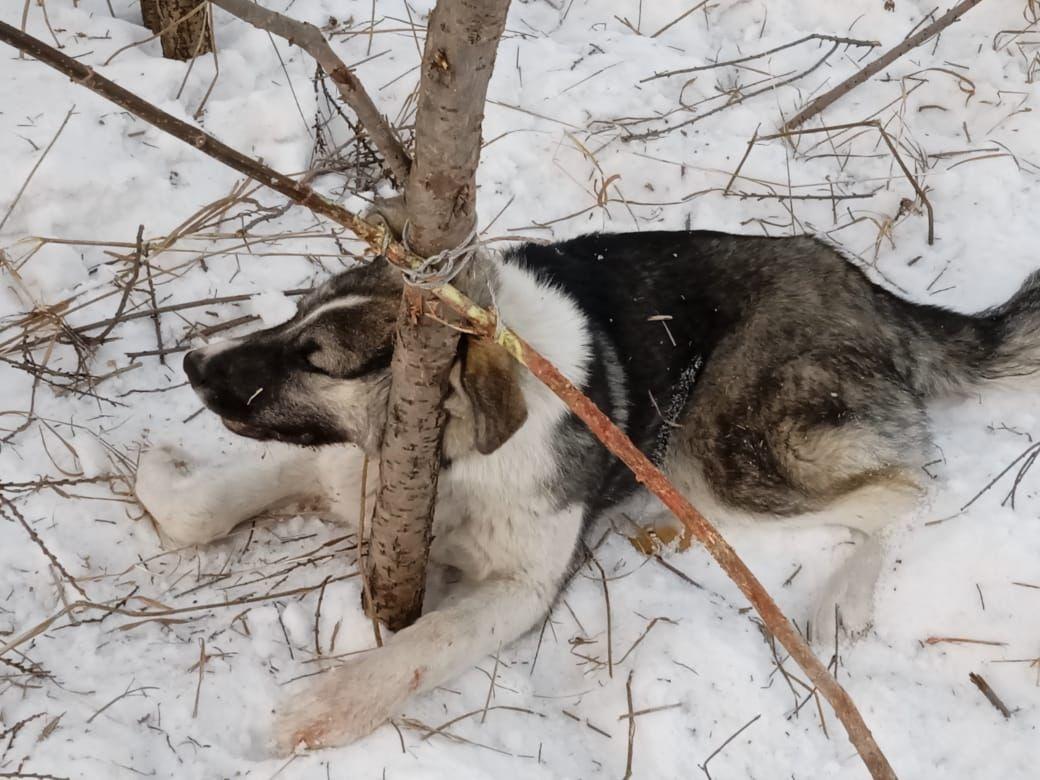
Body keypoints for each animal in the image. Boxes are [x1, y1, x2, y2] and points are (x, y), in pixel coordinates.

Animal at [134, 228, 1040, 752]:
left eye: (315, 358)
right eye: (293, 316)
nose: (192, 363)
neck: (455, 463)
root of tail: (867, 287)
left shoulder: (522, 588)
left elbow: (420, 649)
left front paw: (324, 710)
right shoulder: (346, 469)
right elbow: (192, 512)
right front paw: (153, 472)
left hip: (723, 457)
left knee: (913, 478)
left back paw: (845, 592)